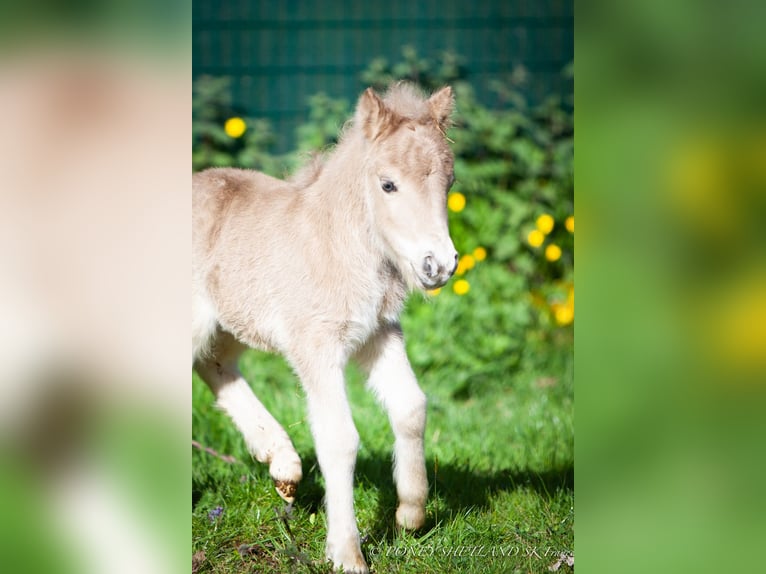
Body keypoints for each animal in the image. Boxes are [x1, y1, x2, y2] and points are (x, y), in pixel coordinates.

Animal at [195, 83, 460, 572]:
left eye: (448, 183)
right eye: (388, 184)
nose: (439, 266)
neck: (338, 245)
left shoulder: (378, 333)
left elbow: (411, 406)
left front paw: (410, 515)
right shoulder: (315, 345)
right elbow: (340, 438)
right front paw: (346, 553)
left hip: (222, 326)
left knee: (214, 364)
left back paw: (283, 465)